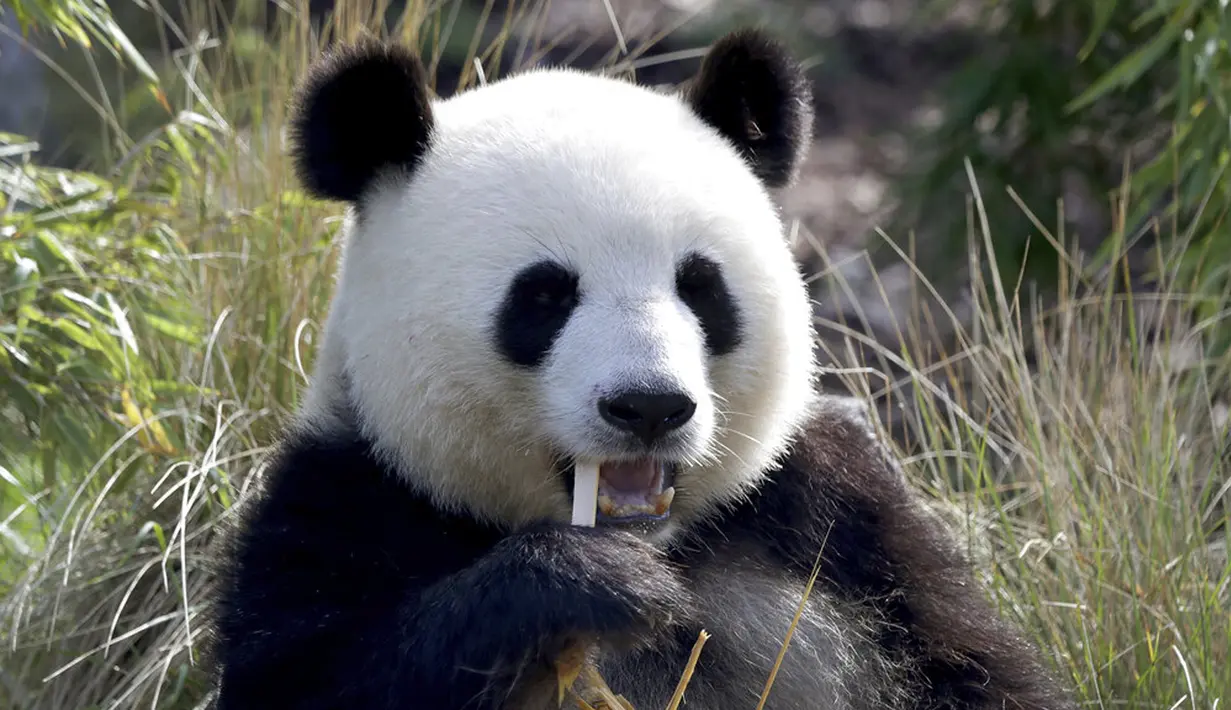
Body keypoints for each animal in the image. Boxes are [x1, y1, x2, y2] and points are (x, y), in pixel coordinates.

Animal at [205, 28, 1076, 710]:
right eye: (544, 296)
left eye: (699, 285)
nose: (650, 406)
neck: (661, 544)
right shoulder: (344, 497)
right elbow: (309, 676)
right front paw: (581, 583)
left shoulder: (837, 519)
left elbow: (965, 665)